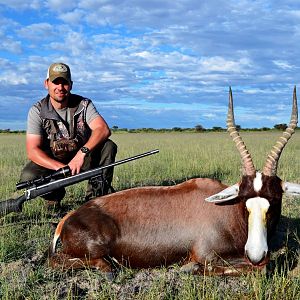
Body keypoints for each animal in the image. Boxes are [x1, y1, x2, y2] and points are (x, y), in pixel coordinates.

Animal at [49, 86, 300, 274]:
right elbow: (259, 269)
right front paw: (188, 268)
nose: (256, 254)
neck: (227, 209)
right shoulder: (207, 255)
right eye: (244, 198)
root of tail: (67, 220)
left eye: (275, 198)